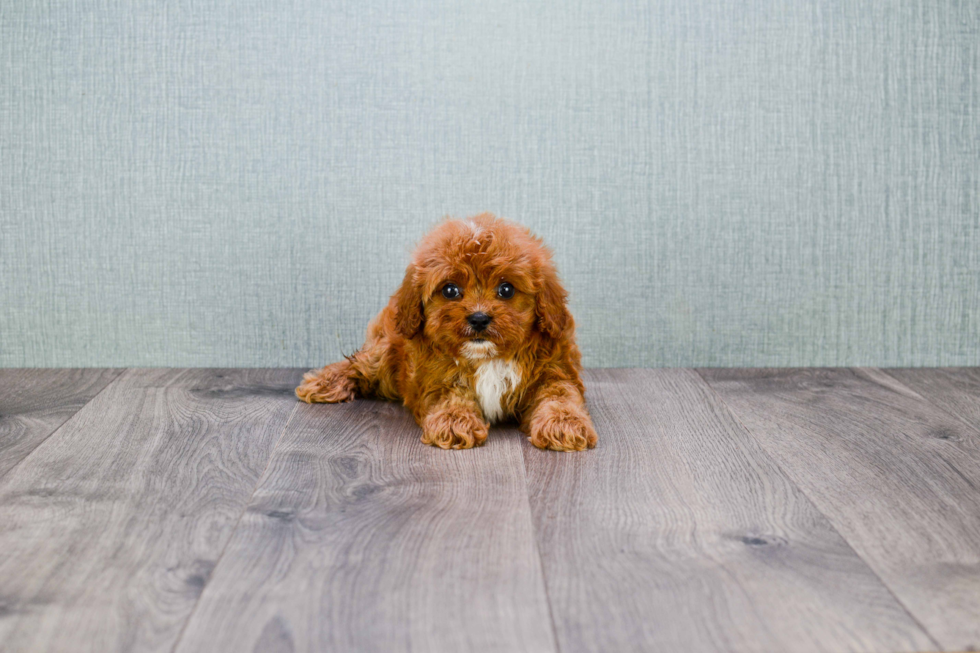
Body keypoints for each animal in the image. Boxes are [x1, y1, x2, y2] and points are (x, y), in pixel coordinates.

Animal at [294, 211, 596, 450]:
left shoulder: (555, 370)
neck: (486, 357)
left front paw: (564, 423)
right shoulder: (435, 375)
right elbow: (451, 395)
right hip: (386, 353)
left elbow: (560, 395)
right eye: (450, 290)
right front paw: (454, 421)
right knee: (359, 363)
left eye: (506, 289)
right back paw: (323, 383)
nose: (478, 318)